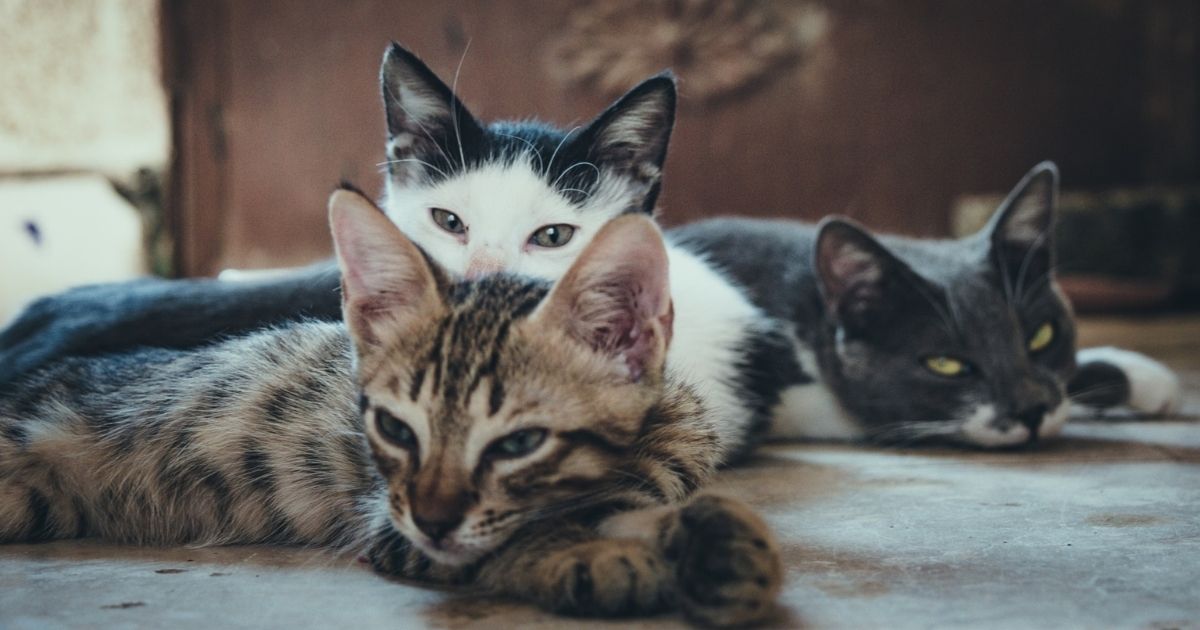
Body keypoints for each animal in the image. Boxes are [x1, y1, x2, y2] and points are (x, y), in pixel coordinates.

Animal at [0, 189, 782, 624]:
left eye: (517, 443)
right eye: (392, 428)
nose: (434, 517)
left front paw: (712, 546)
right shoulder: (392, 521)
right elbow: (515, 536)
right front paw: (600, 556)